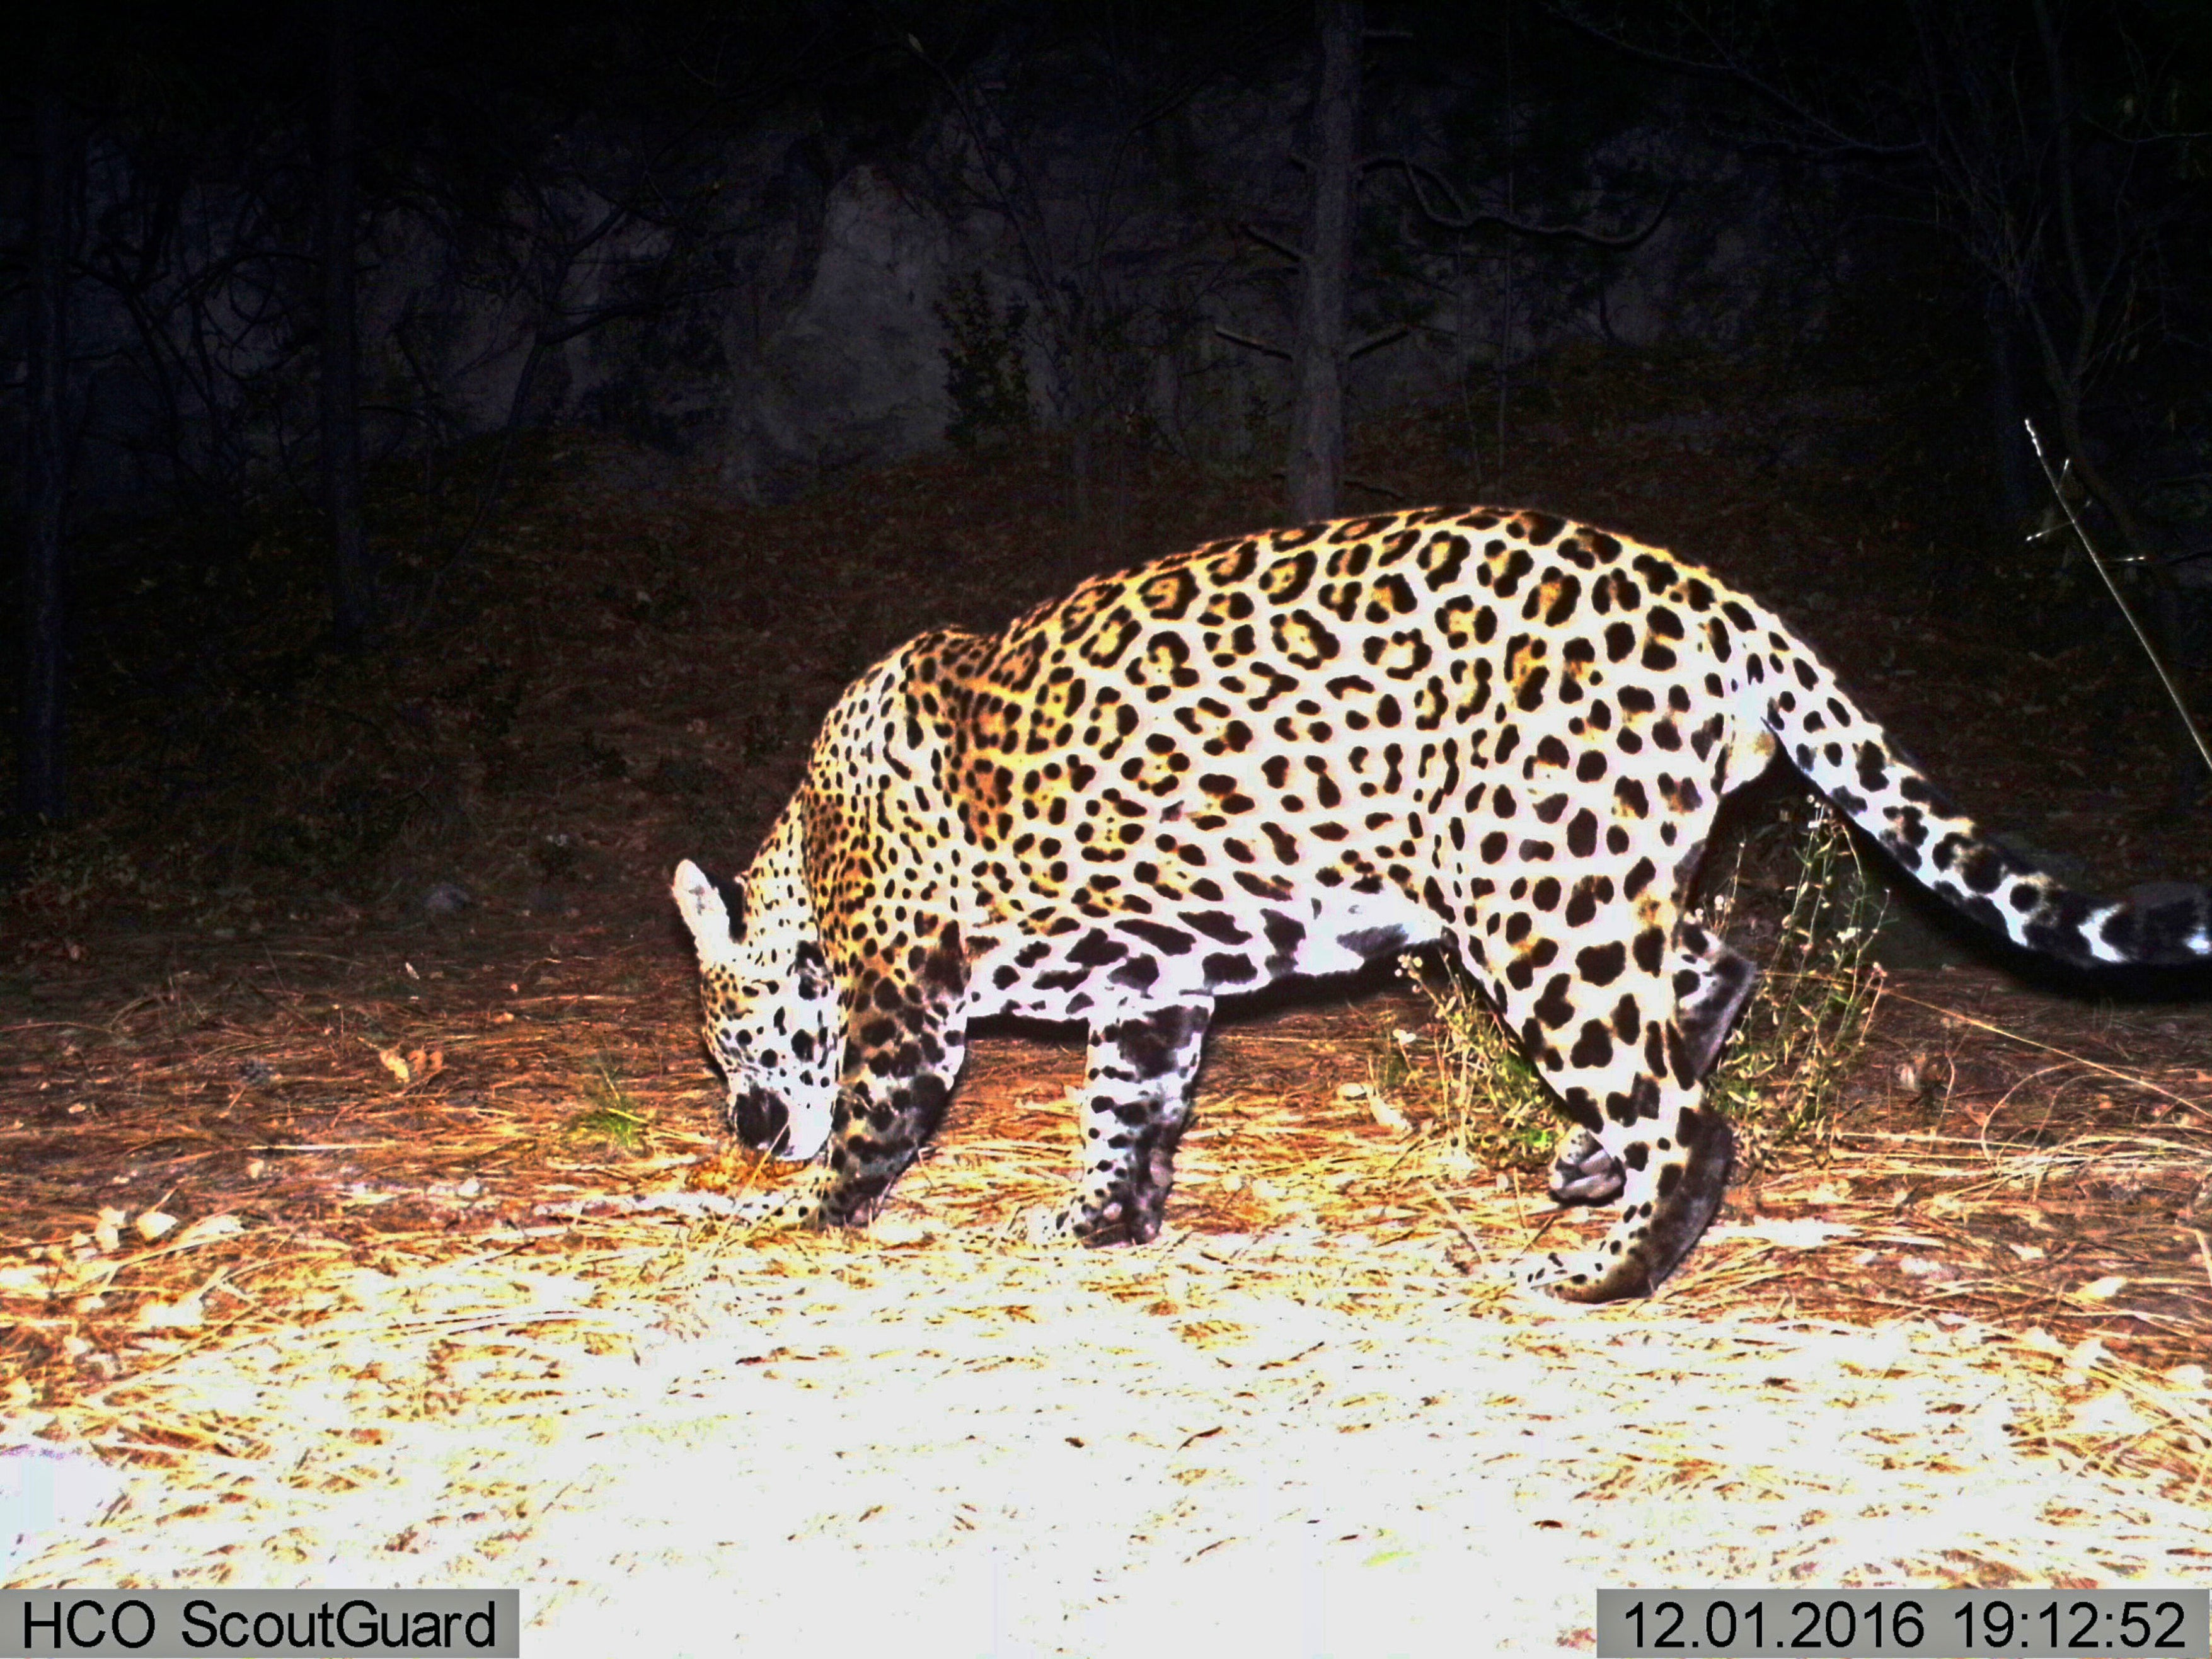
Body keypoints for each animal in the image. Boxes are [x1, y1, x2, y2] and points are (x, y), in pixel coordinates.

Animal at [672, 506, 2212, 1301]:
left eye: (732, 1042)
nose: (741, 1125)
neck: (810, 846)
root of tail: (1718, 599)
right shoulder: (1155, 986)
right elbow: (1127, 1107)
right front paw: (1102, 1221)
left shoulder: (904, 1001)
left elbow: (874, 1122)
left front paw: (791, 1209)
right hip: (1595, 876)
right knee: (1722, 958)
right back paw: (1589, 1168)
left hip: (1539, 904)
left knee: (1689, 1116)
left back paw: (1604, 1270)